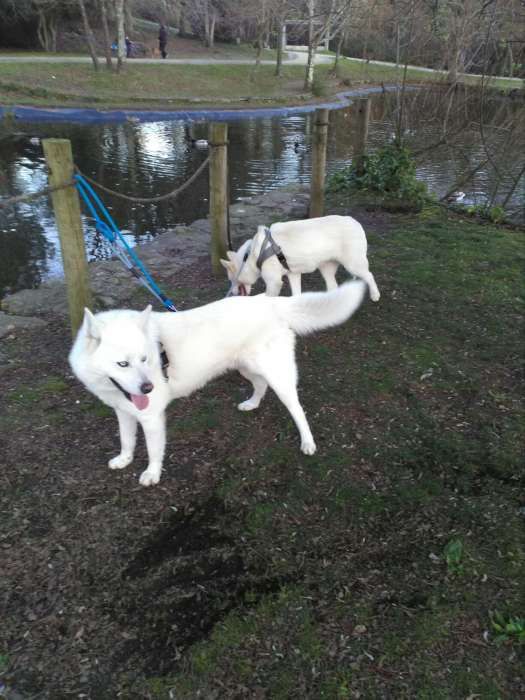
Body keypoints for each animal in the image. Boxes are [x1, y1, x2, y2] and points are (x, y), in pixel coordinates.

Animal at [68, 278, 364, 486]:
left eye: (144, 359)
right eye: (123, 364)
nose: (148, 388)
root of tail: (269, 302)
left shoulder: (151, 418)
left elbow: (153, 451)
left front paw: (152, 474)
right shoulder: (124, 412)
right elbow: (126, 440)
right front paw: (125, 459)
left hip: (278, 376)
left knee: (297, 409)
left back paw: (307, 442)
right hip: (246, 368)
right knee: (260, 386)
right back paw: (252, 404)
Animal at [221, 213, 380, 300]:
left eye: (231, 280)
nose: (232, 293)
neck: (254, 253)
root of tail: (356, 222)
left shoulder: (274, 283)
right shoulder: (293, 275)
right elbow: (296, 294)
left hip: (353, 265)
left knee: (370, 275)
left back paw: (375, 294)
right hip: (326, 268)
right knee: (333, 287)